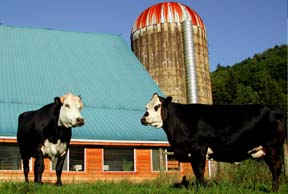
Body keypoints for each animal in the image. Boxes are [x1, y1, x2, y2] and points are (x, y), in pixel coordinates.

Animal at [142, 93, 286, 192]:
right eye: (146, 107)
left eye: (157, 107)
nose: (143, 119)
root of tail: (275, 110)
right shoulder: (191, 153)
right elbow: (196, 171)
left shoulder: (199, 149)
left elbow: (199, 171)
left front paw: (201, 189)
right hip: (266, 150)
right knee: (274, 167)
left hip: (272, 146)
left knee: (276, 166)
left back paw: (274, 189)